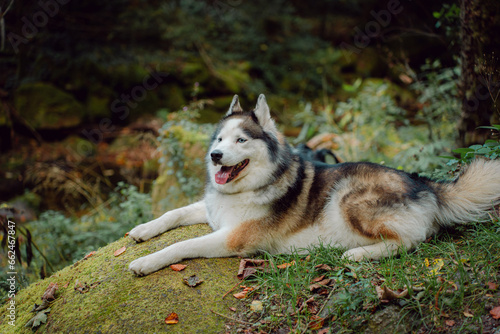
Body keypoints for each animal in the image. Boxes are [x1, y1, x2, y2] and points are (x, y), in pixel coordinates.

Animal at [128, 94, 500, 276]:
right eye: (219, 139)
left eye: (241, 140)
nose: (215, 155)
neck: (252, 185)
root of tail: (425, 184)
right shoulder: (211, 210)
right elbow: (174, 213)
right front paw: (142, 230)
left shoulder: (233, 239)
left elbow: (181, 246)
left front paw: (146, 263)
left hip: (351, 199)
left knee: (414, 239)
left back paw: (357, 254)